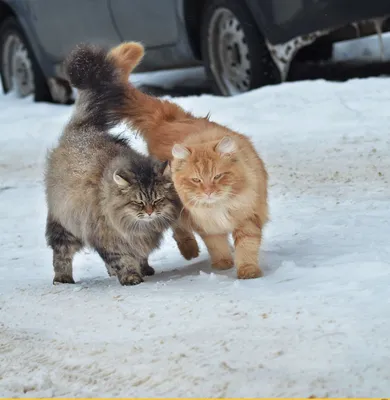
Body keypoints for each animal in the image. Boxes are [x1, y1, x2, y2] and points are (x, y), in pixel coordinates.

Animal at [44, 44, 181, 284]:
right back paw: (63, 278)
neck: (139, 226)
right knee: (61, 253)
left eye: (157, 200)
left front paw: (144, 268)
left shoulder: (139, 238)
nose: (150, 212)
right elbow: (121, 259)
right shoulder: (109, 238)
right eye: (138, 202)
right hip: (65, 225)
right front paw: (130, 277)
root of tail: (80, 129)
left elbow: (140, 255)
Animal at [108, 41, 270, 278]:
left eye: (218, 177)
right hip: (170, 203)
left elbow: (246, 246)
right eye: (196, 180)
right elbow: (216, 245)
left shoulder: (248, 216)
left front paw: (247, 271)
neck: (218, 207)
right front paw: (223, 265)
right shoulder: (205, 225)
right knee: (179, 230)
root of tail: (167, 119)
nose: (209, 191)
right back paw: (190, 251)